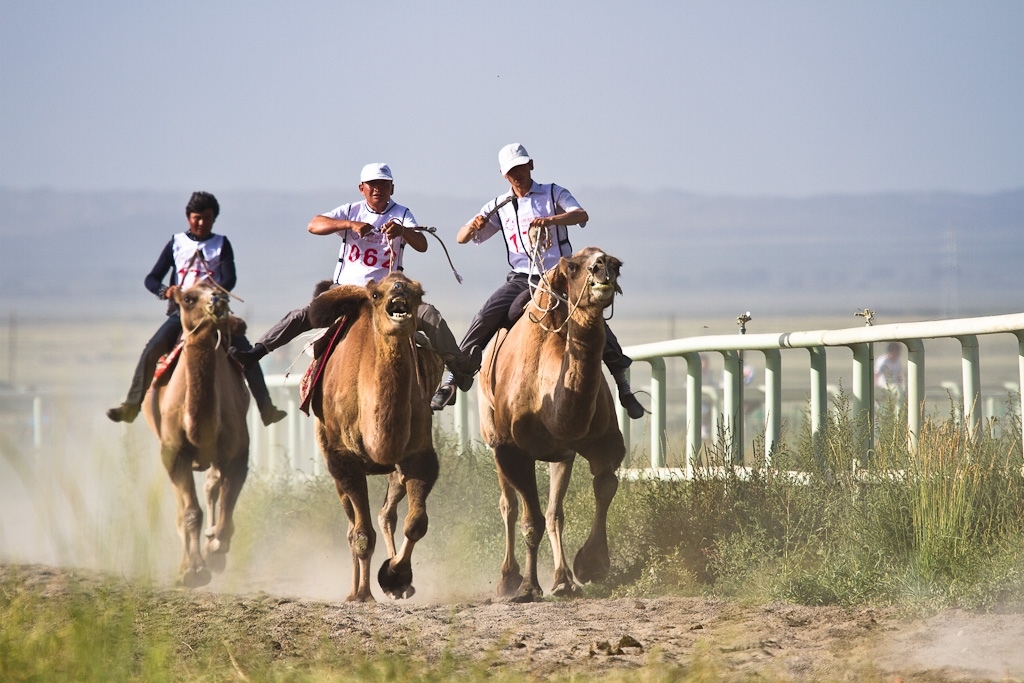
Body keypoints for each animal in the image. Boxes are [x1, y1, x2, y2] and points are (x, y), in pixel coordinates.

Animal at [141, 280, 248, 589]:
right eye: (188, 298)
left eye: (219, 290)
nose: (218, 300)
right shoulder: (174, 454)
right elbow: (190, 513)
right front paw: (193, 570)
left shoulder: (238, 453)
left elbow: (226, 499)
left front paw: (216, 546)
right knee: (183, 509)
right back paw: (185, 564)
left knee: (212, 486)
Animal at [307, 270, 444, 602]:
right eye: (375, 294)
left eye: (419, 292)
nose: (399, 287)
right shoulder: (344, 462)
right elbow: (361, 534)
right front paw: (363, 595)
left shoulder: (419, 456)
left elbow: (416, 523)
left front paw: (396, 577)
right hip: (334, 466)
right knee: (353, 527)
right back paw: (353, 590)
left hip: (394, 470)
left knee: (386, 514)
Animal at [477, 246, 622, 602]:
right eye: (573, 267)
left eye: (618, 264)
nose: (604, 267)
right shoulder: (513, 451)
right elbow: (531, 521)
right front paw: (527, 588)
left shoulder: (600, 441)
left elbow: (605, 486)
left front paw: (590, 565)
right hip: (493, 437)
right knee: (509, 506)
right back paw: (508, 578)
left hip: (561, 455)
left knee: (556, 512)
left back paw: (562, 578)